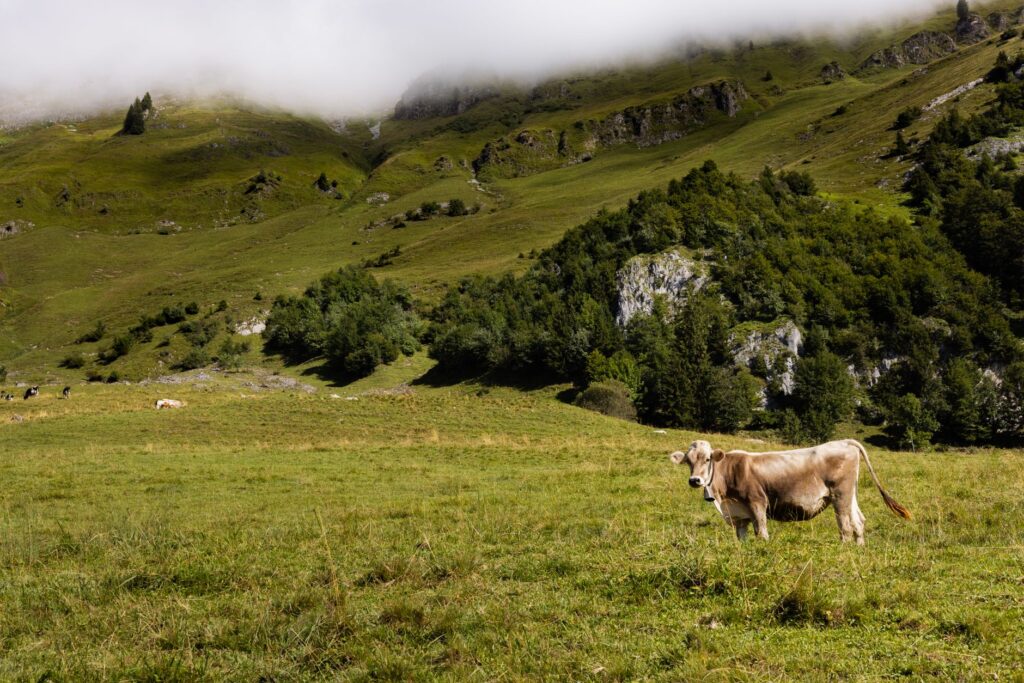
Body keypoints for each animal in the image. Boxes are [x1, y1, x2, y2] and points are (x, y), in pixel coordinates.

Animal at [669, 439, 911, 545]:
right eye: (688, 461)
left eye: (707, 459)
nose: (695, 480)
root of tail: (844, 442)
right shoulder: (739, 513)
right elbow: (742, 536)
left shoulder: (757, 502)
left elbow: (761, 531)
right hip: (850, 494)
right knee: (858, 521)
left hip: (840, 495)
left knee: (845, 526)